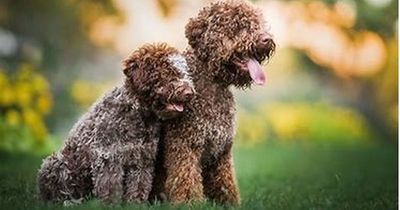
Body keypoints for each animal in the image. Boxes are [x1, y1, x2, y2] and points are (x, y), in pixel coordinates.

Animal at [36, 43, 196, 205]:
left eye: (185, 73)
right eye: (167, 72)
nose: (189, 93)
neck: (139, 114)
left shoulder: (142, 159)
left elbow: (139, 185)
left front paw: (135, 204)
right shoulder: (109, 157)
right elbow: (110, 188)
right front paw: (111, 205)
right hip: (55, 163)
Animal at [150, 0, 276, 206]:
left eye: (257, 25)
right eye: (238, 25)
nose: (266, 39)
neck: (213, 87)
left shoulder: (221, 153)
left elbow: (225, 183)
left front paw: (229, 203)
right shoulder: (185, 146)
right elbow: (187, 181)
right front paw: (191, 204)